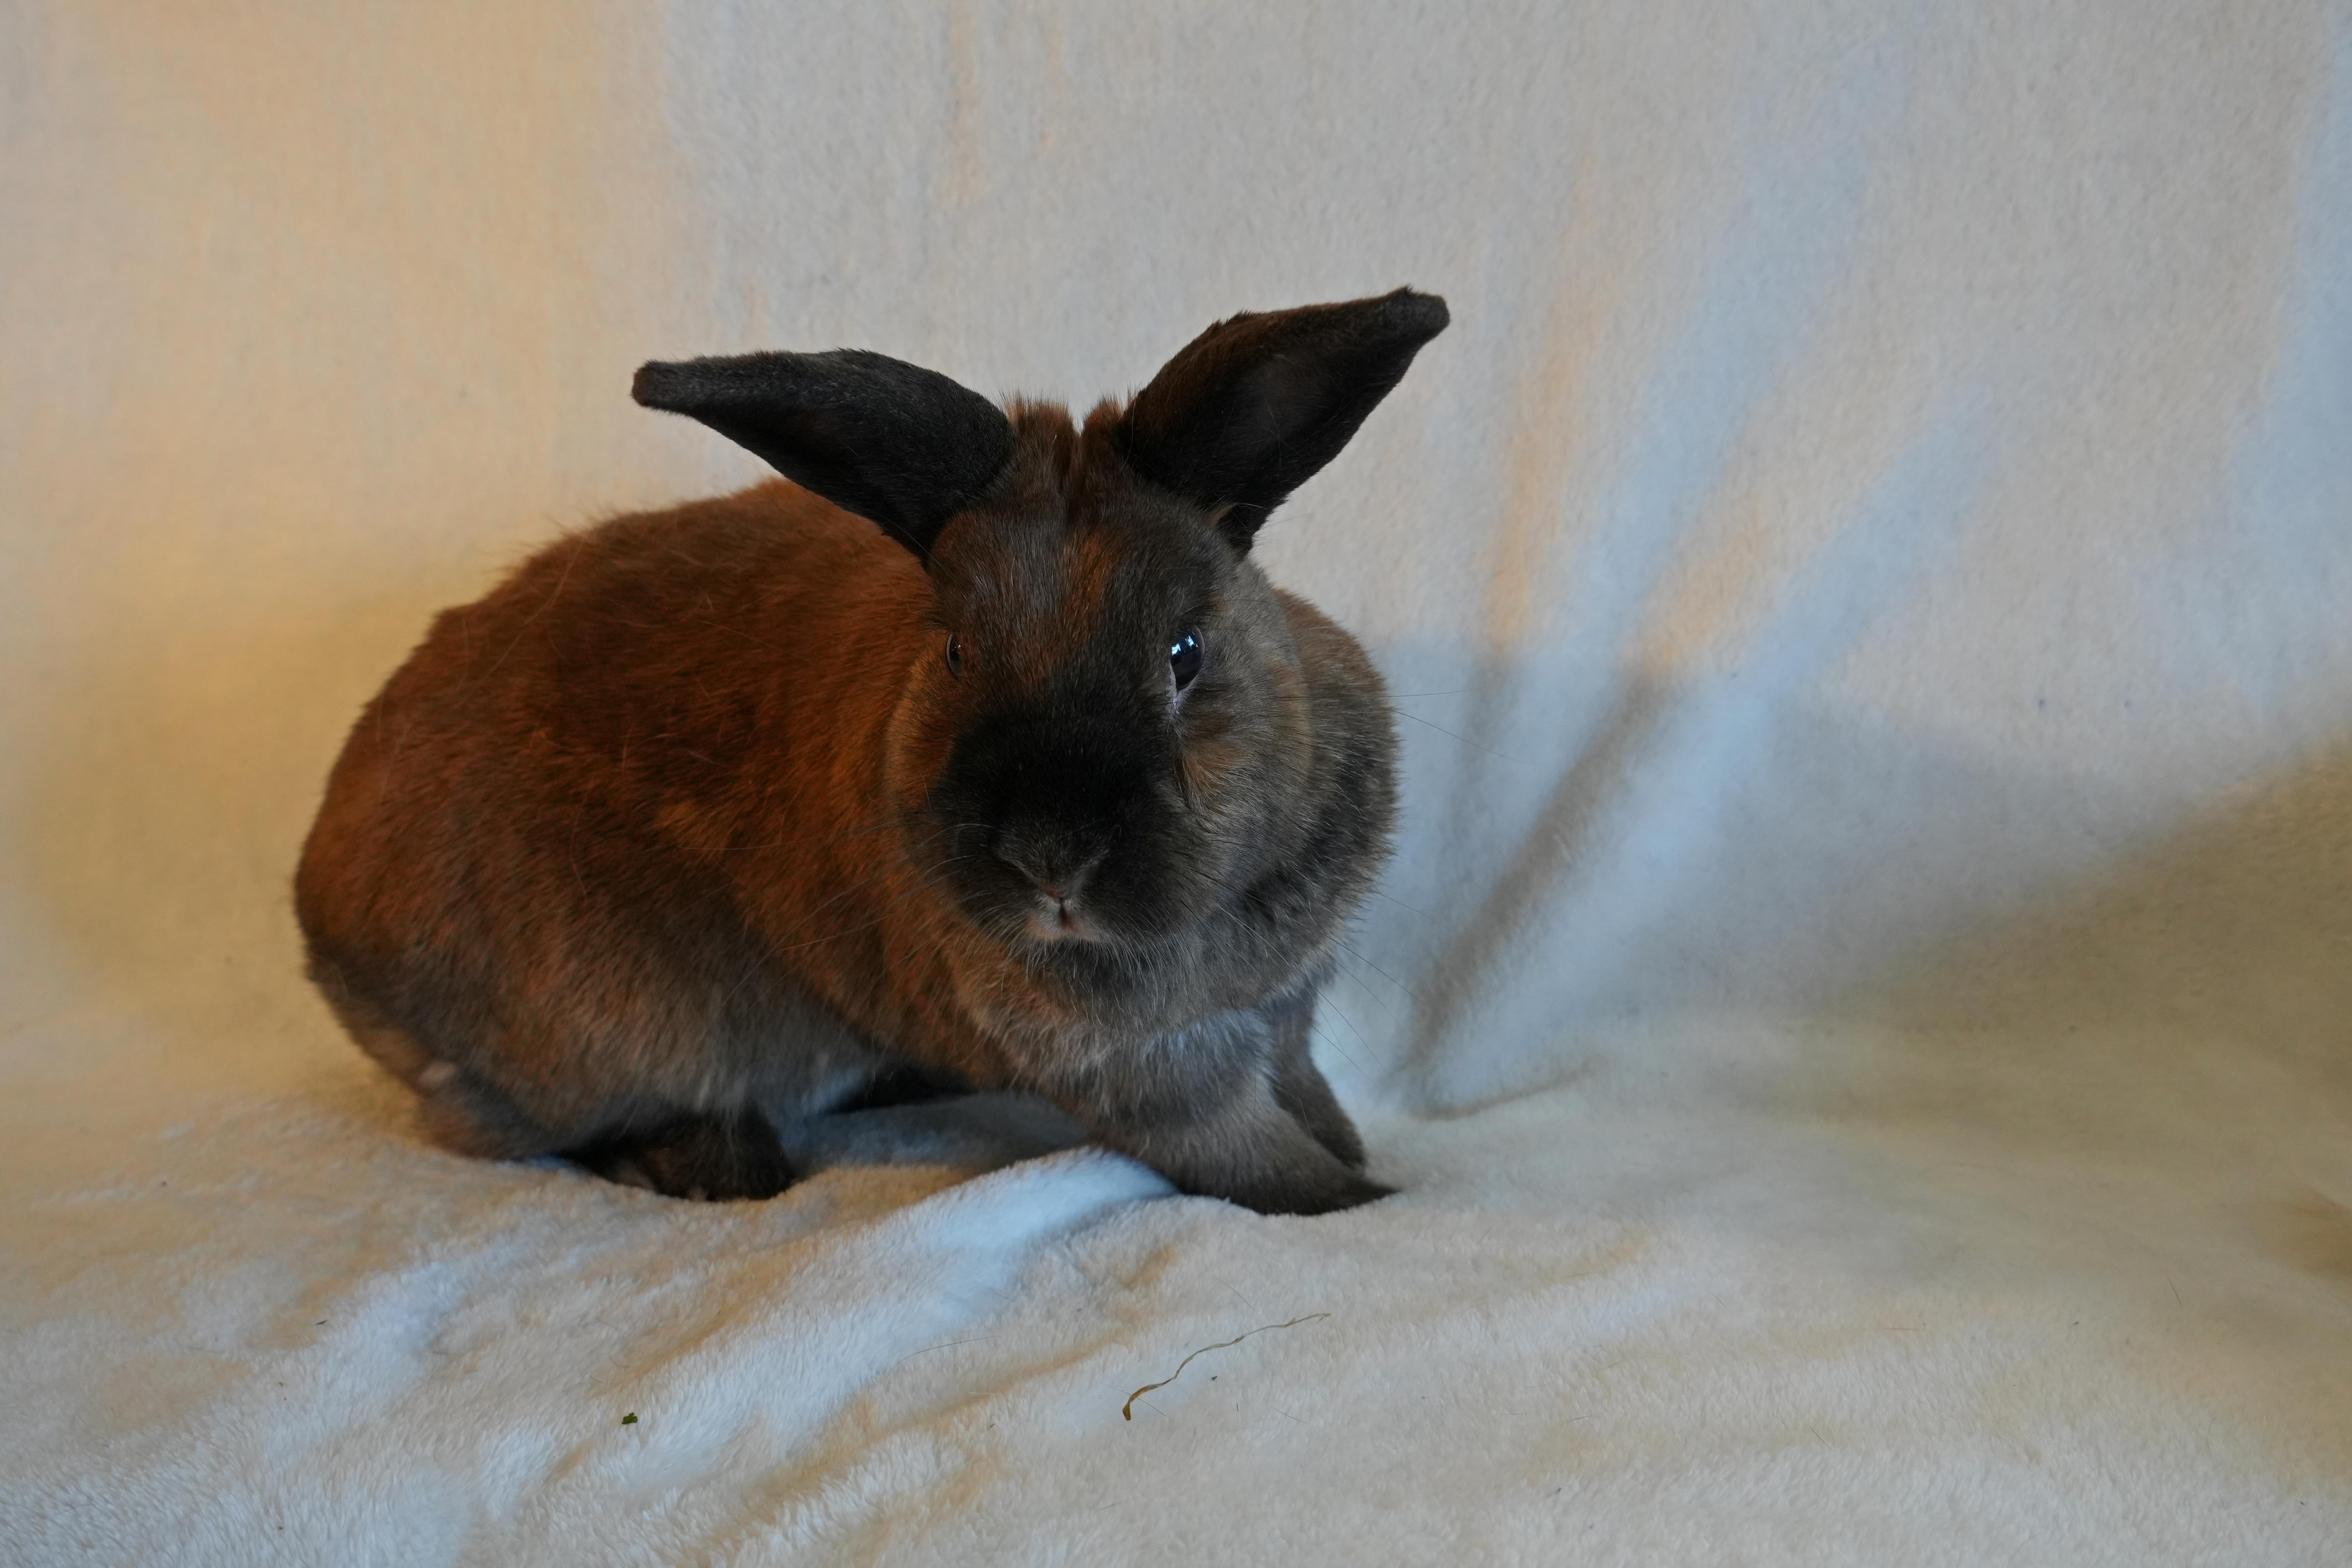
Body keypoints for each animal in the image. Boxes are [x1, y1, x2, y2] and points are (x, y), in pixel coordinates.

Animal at [294, 288, 1447, 1215]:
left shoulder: (1283, 1017)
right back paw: (717, 1165)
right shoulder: (1156, 1080)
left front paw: (1359, 1155)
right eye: (954, 650)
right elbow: (1257, 1160)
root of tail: (321, 921)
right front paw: (1364, 1201)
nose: (1050, 858)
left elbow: (1306, 1093)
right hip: (612, 1032)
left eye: (1185, 652)